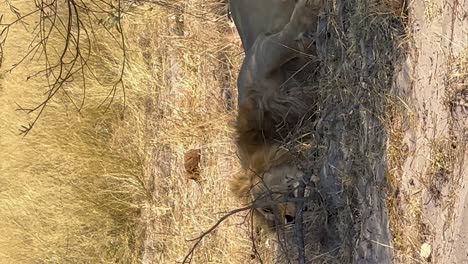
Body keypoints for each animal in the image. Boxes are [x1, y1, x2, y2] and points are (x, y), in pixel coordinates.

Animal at [229, 0, 324, 227]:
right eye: (268, 212)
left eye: (267, 207)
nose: (290, 219)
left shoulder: (257, 58)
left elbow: (284, 42)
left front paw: (308, 11)